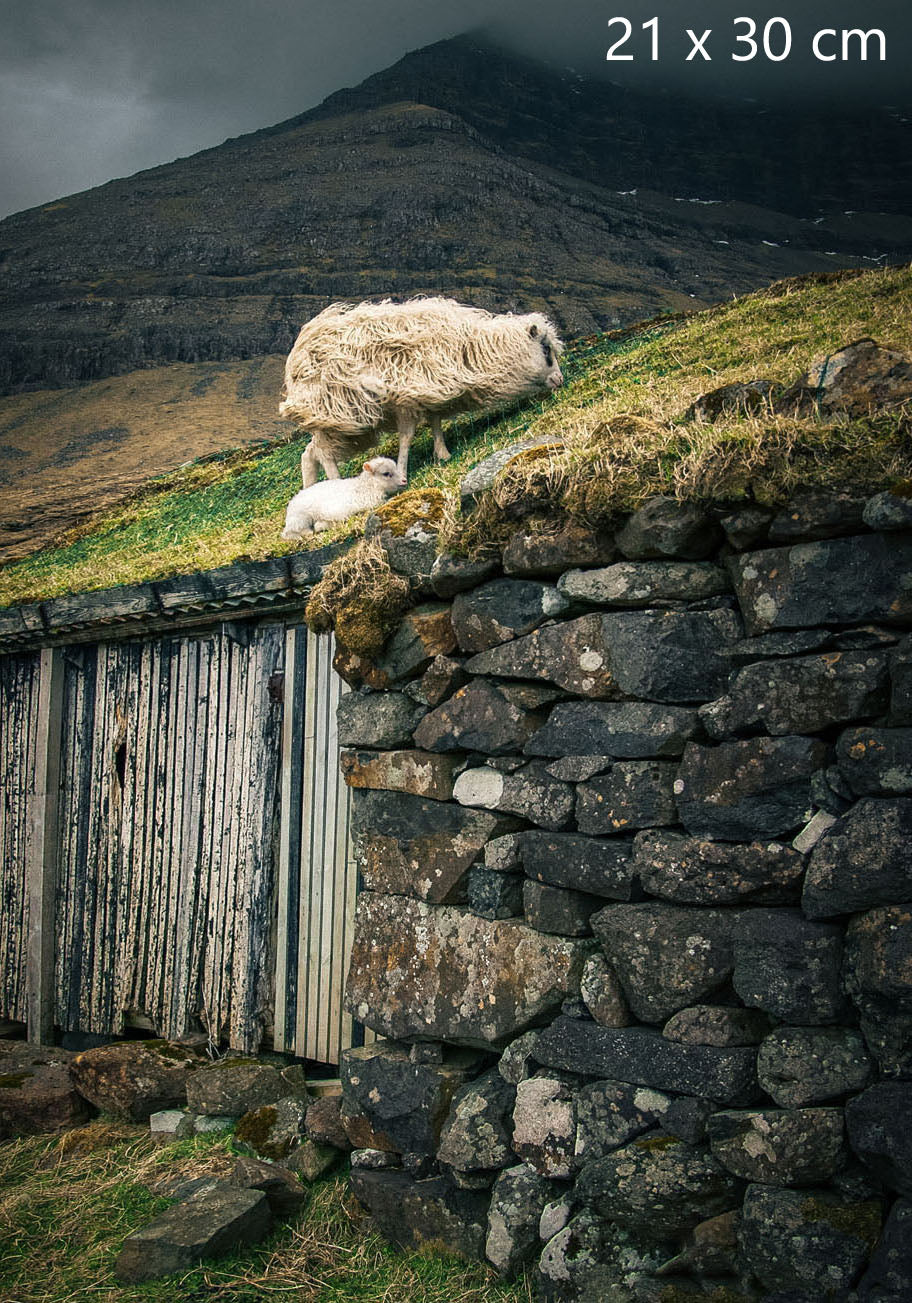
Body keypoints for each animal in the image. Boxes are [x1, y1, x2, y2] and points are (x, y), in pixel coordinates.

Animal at [279, 297, 565, 486]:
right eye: (546, 349)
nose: (560, 380)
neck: (472, 348)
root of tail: (298, 351)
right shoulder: (406, 398)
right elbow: (407, 437)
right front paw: (403, 471)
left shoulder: (431, 392)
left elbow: (436, 422)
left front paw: (442, 453)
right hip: (339, 413)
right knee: (322, 454)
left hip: (338, 422)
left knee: (309, 453)